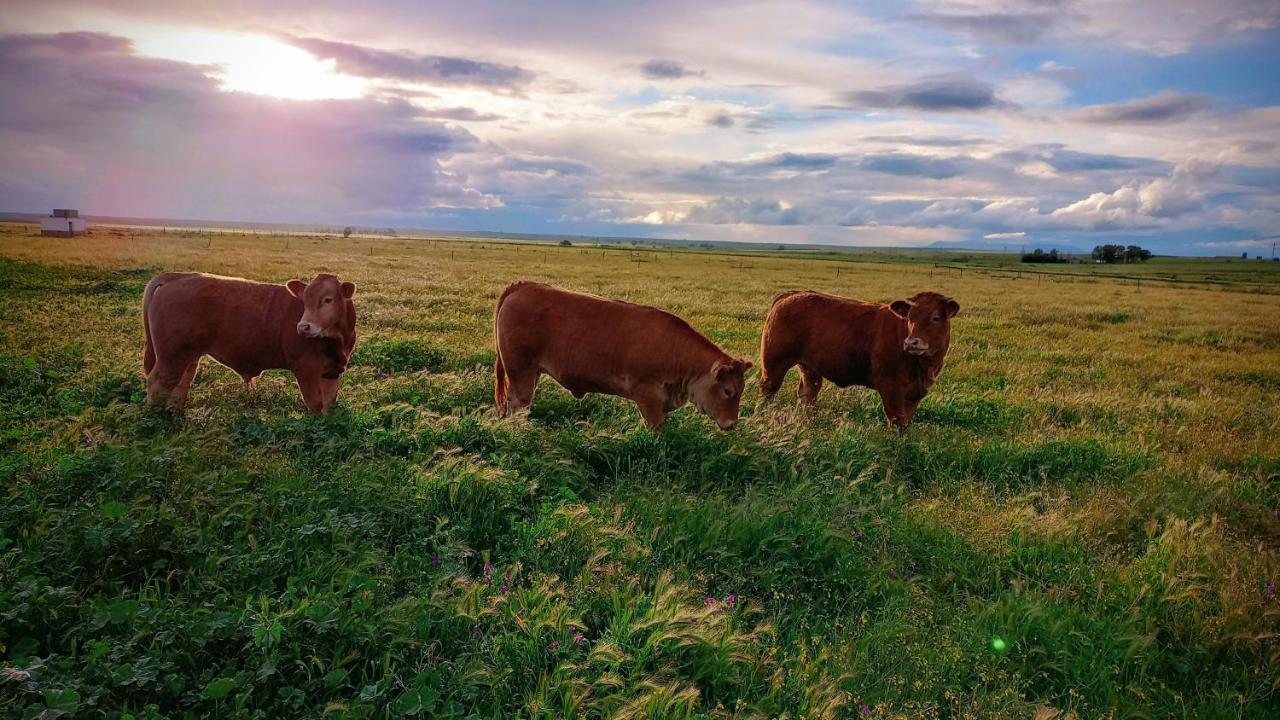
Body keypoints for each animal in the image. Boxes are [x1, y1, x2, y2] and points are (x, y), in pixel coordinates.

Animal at [141, 270, 355, 415]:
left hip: (188, 357)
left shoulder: (331, 372)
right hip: (171, 357)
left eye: (328, 300)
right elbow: (315, 404)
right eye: (304, 300)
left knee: (181, 384)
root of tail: (177, 276)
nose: (303, 327)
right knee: (159, 383)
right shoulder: (306, 370)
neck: (337, 341)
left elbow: (329, 403)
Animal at [488, 279, 747, 425]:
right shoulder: (648, 398)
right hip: (520, 371)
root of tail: (522, 287)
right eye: (728, 391)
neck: (677, 353)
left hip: (532, 372)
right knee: (517, 403)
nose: (732, 423)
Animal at [757, 288, 962, 425]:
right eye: (910, 317)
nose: (911, 342)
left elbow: (906, 423)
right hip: (774, 364)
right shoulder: (891, 387)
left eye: (936, 318)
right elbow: (897, 421)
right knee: (767, 391)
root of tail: (790, 294)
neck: (922, 367)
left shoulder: (915, 393)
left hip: (810, 369)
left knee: (807, 396)